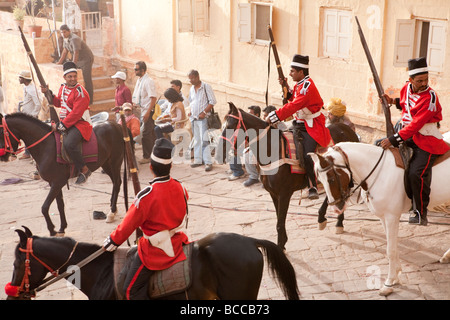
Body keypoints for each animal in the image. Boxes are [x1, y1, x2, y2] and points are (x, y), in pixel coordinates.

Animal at [216, 103, 360, 250]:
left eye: (230, 126)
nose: (218, 152)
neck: (273, 151)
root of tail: (348, 130)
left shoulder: (284, 194)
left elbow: (280, 223)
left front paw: (280, 247)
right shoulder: (273, 193)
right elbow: (279, 219)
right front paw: (283, 243)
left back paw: (338, 222)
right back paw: (322, 218)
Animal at [310, 141, 450, 296]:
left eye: (331, 179)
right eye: (320, 179)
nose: (335, 208)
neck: (379, 172)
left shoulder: (391, 217)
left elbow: (390, 250)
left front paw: (389, 283)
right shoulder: (384, 218)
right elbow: (392, 246)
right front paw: (396, 275)